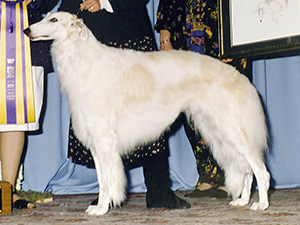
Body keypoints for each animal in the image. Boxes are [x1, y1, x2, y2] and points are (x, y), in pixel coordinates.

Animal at [25, 11, 270, 214]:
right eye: (46, 17)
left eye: (54, 20)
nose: (26, 30)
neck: (83, 57)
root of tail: (240, 77)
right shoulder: (95, 143)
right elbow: (102, 180)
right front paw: (100, 206)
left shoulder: (104, 141)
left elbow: (108, 181)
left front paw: (102, 208)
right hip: (219, 131)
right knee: (247, 170)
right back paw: (243, 200)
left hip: (231, 129)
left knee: (260, 170)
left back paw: (262, 204)